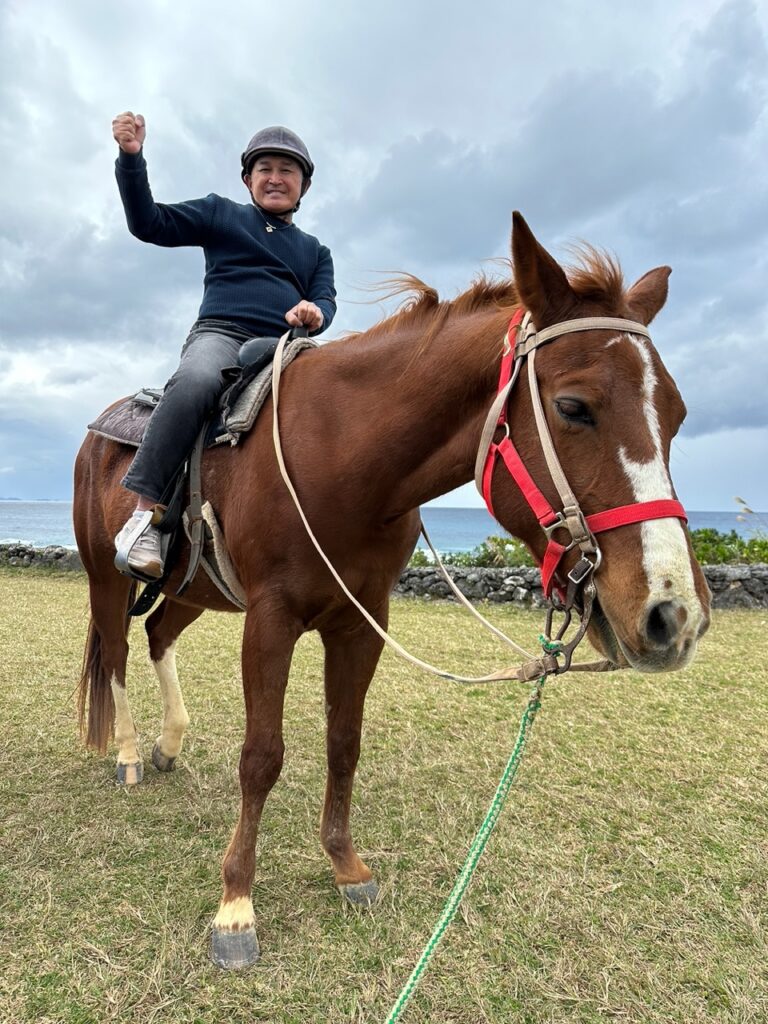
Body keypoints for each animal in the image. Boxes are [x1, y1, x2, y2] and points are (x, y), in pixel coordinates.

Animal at [74, 212, 711, 968]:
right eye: (574, 406)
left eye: (676, 414)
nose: (673, 613)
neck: (342, 456)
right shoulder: (271, 619)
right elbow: (261, 758)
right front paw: (236, 906)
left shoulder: (360, 621)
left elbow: (344, 742)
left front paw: (346, 867)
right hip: (106, 578)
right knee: (116, 653)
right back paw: (130, 755)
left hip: (193, 590)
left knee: (157, 635)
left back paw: (169, 744)